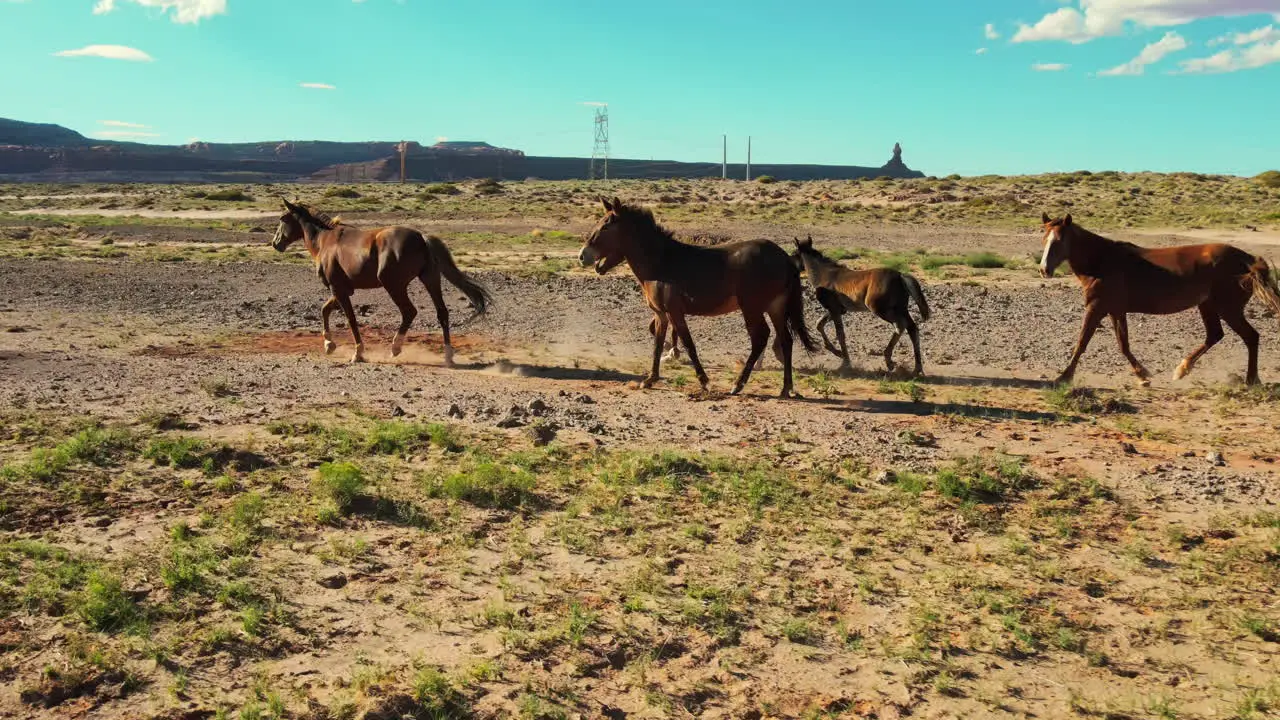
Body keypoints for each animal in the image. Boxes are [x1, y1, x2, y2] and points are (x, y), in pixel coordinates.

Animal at [270, 196, 488, 363]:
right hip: (430, 280)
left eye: (283, 218)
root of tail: (422, 238)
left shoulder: (338, 288)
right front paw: (329, 344)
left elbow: (350, 318)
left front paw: (357, 353)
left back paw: (395, 348)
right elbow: (325, 309)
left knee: (409, 312)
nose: (275, 243)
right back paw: (448, 356)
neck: (326, 241)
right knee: (442, 313)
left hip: (394, 285)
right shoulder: (343, 289)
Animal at [578, 196, 814, 394]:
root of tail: (784, 258)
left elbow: (688, 344)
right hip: (775, 307)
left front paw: (704, 381)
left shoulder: (675, 312)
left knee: (760, 338)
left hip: (752, 308)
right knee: (786, 340)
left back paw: (738, 385)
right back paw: (786, 388)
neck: (661, 262)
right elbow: (657, 343)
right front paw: (650, 379)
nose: (582, 256)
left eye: (605, 226)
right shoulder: (661, 315)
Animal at [788, 235, 931, 371]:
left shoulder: (834, 310)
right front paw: (836, 352)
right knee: (912, 329)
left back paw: (889, 361)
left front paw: (845, 361)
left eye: (794, 253)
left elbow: (840, 334)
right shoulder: (838, 310)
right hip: (901, 309)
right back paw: (917, 368)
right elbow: (819, 324)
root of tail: (900, 276)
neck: (825, 274)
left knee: (900, 326)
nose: (792, 267)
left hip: (882, 310)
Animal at [1039, 211, 1280, 384]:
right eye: (1044, 238)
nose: (1044, 270)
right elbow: (1123, 344)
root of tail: (1247, 260)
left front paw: (1063, 377)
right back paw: (1182, 370)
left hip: (1228, 308)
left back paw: (1251, 380)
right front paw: (1142, 374)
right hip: (1208, 305)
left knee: (1250, 337)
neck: (1101, 262)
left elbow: (1082, 342)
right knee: (1215, 335)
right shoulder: (1116, 310)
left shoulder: (1097, 307)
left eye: (1059, 240)